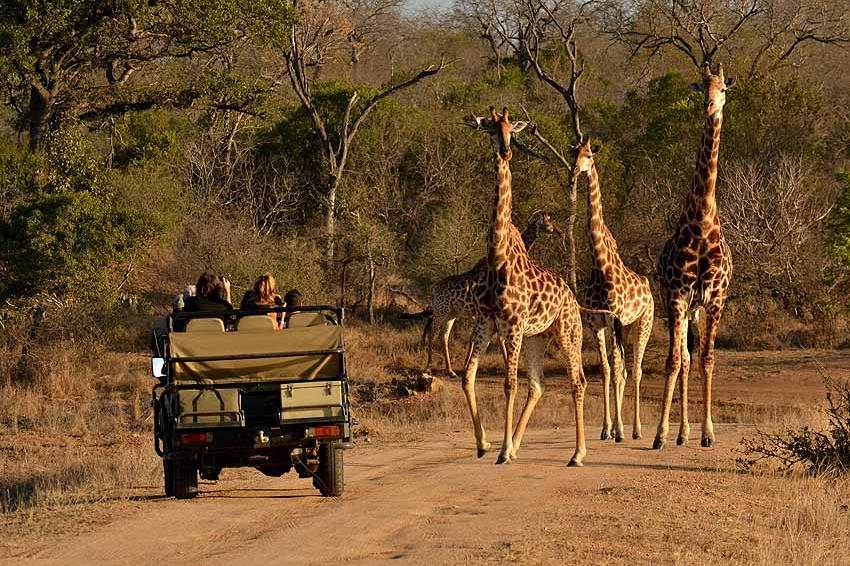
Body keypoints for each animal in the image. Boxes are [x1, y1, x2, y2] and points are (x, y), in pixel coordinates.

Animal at [420, 211, 560, 380]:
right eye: (548, 224)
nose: (559, 232)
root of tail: (434, 291)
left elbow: (477, 337)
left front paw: (467, 366)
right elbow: (489, 338)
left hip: (451, 314)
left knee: (444, 336)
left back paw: (450, 371)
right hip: (441, 311)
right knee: (432, 334)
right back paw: (428, 368)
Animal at [460, 108, 588, 468]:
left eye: (511, 129)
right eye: (490, 128)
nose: (505, 150)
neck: (498, 258)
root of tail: (571, 297)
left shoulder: (512, 326)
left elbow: (508, 384)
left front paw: (502, 451)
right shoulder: (485, 323)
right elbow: (468, 376)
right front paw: (484, 444)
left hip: (567, 331)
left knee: (578, 381)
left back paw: (577, 454)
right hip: (536, 337)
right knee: (538, 384)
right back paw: (518, 445)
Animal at [568, 140, 656, 446]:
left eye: (588, 155)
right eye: (573, 153)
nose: (574, 173)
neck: (601, 265)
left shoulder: (614, 319)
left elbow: (617, 370)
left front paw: (618, 429)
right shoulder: (597, 323)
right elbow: (607, 371)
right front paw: (606, 429)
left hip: (643, 324)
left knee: (636, 370)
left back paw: (635, 429)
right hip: (625, 328)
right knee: (624, 370)